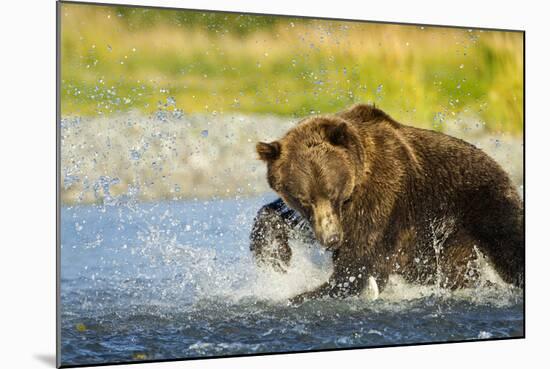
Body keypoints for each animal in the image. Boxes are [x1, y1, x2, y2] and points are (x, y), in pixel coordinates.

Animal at [250, 103, 528, 302]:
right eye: (304, 198)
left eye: (332, 192)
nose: (331, 239)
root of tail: (502, 168)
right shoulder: (324, 218)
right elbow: (279, 216)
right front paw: (274, 256)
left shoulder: (381, 198)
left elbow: (358, 263)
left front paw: (305, 293)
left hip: (484, 203)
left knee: (509, 248)